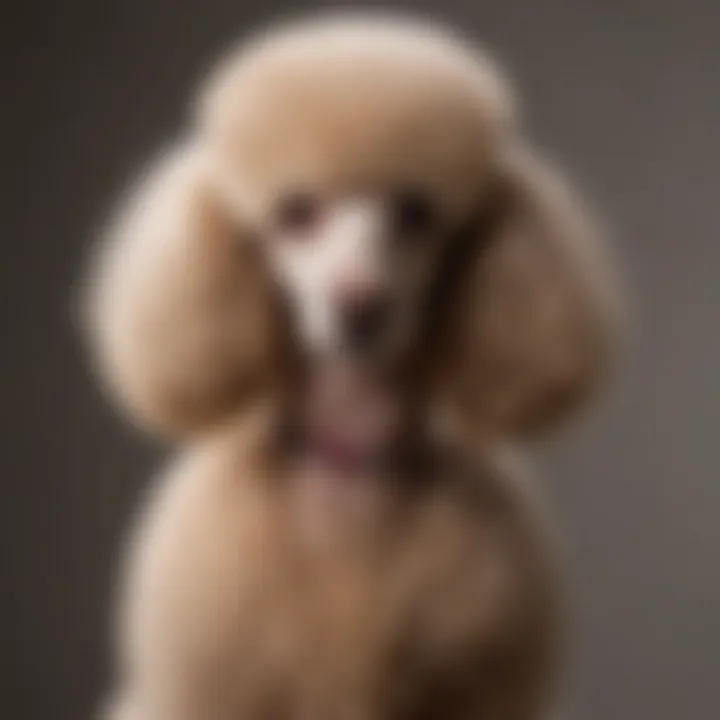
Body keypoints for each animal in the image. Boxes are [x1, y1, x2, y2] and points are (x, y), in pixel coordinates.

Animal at [84, 14, 612, 720]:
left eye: (415, 210)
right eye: (296, 211)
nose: (359, 306)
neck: (352, 461)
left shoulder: (471, 689)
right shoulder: (220, 687)